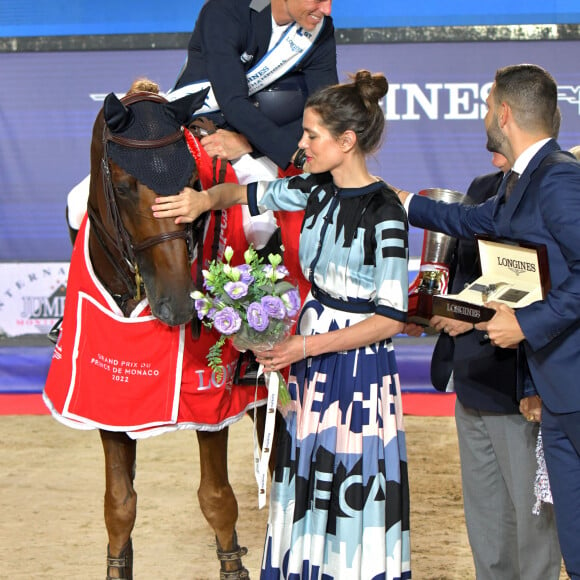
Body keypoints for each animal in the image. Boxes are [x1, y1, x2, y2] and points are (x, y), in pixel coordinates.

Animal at [43, 79, 270, 576]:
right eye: (124, 187)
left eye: (193, 184)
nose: (180, 306)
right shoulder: (105, 399)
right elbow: (119, 504)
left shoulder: (210, 403)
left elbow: (217, 499)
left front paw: (233, 564)